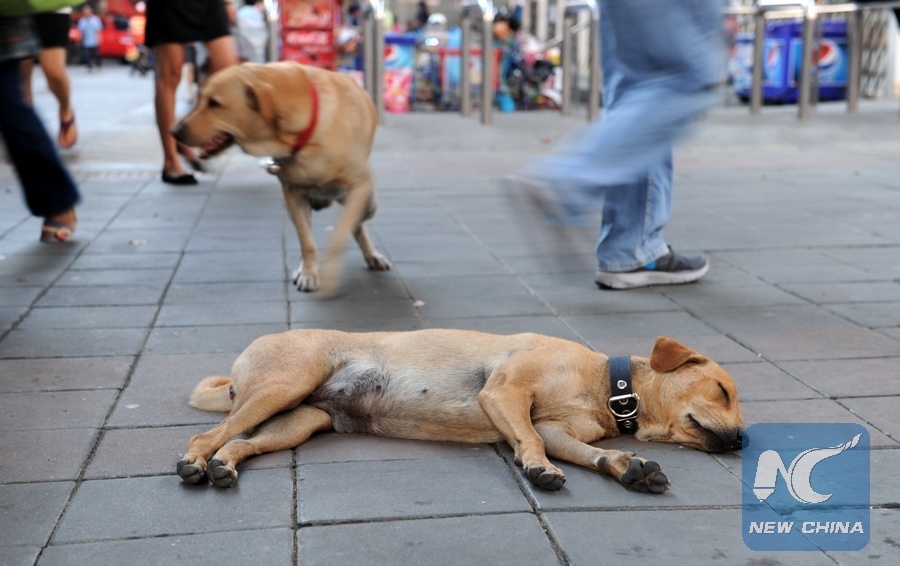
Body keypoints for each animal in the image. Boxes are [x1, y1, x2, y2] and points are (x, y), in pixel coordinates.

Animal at [173, 62, 390, 295]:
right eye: (202, 98)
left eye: (214, 103)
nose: (174, 132)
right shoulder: (292, 194)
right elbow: (306, 242)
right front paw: (309, 273)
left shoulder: (358, 186)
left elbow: (339, 234)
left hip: (362, 201)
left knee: (359, 223)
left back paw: (372, 255)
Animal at [177, 330, 743, 492]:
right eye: (722, 389)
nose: (742, 439)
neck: (607, 388)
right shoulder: (505, 394)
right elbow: (530, 440)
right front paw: (536, 468)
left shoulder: (558, 431)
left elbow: (587, 453)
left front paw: (629, 466)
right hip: (284, 385)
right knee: (207, 437)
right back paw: (195, 464)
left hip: (297, 422)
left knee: (237, 442)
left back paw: (224, 467)